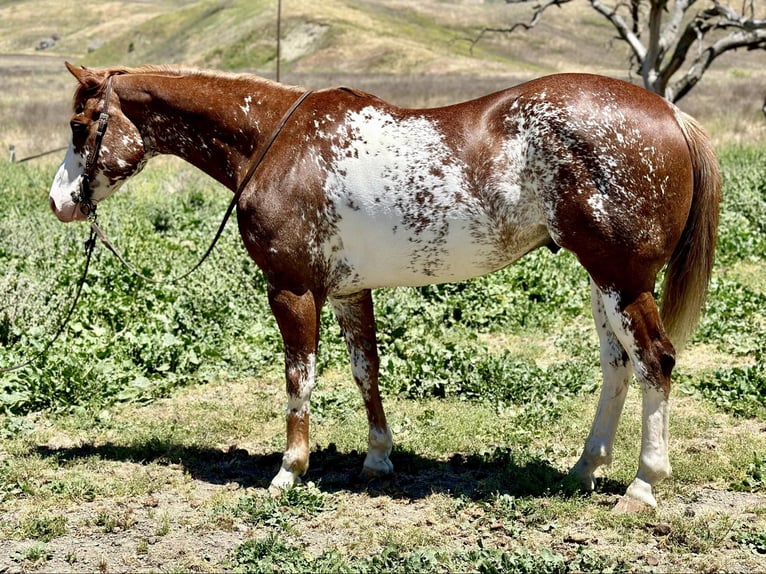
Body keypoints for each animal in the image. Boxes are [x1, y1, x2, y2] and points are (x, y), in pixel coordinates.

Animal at [48, 63, 720, 512]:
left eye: (81, 126)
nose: (59, 203)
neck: (272, 141)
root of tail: (670, 114)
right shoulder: (348, 290)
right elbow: (365, 371)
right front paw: (377, 457)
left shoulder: (292, 290)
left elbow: (299, 377)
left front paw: (289, 471)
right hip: (604, 281)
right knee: (618, 365)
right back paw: (584, 468)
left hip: (622, 279)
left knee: (655, 361)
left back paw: (641, 486)